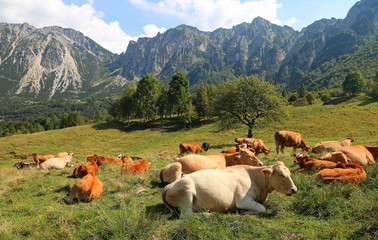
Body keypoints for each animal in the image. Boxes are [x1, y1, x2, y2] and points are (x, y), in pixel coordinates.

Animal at [162, 160, 298, 218]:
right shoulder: (242, 200)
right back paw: (208, 214)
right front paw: (245, 212)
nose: (294, 190)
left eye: (289, 173)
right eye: (281, 174)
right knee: (186, 215)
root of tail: (168, 185)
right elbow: (262, 208)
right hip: (187, 189)